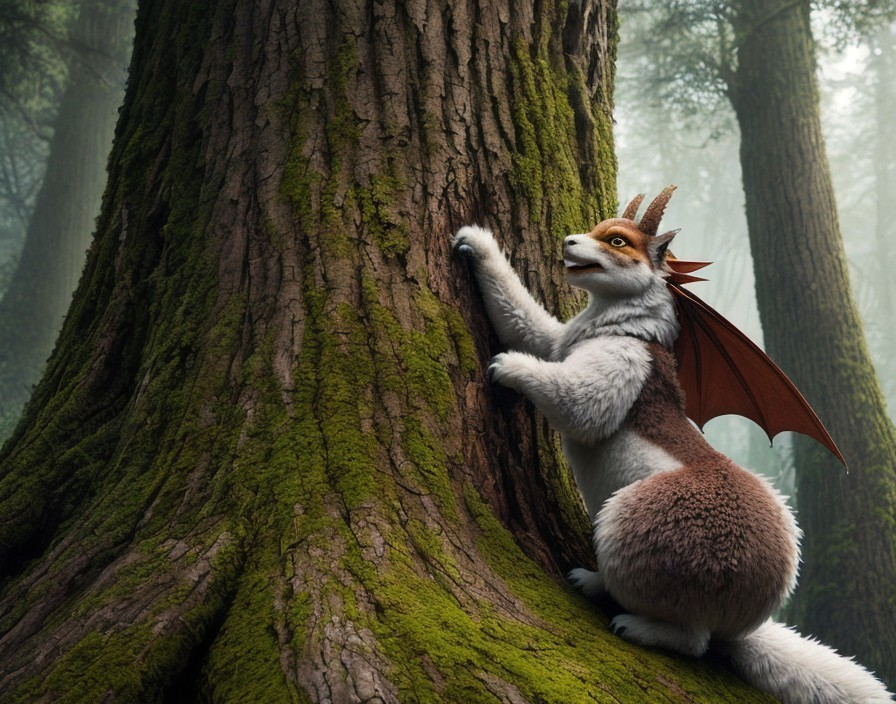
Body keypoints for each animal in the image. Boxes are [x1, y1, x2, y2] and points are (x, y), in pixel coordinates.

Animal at [453, 190, 892, 704]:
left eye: (618, 241)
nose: (567, 241)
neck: (622, 325)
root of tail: (740, 619)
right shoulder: (562, 342)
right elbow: (532, 328)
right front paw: (475, 243)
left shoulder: (624, 362)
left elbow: (581, 406)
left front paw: (506, 367)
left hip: (642, 528)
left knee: (691, 639)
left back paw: (614, 605)